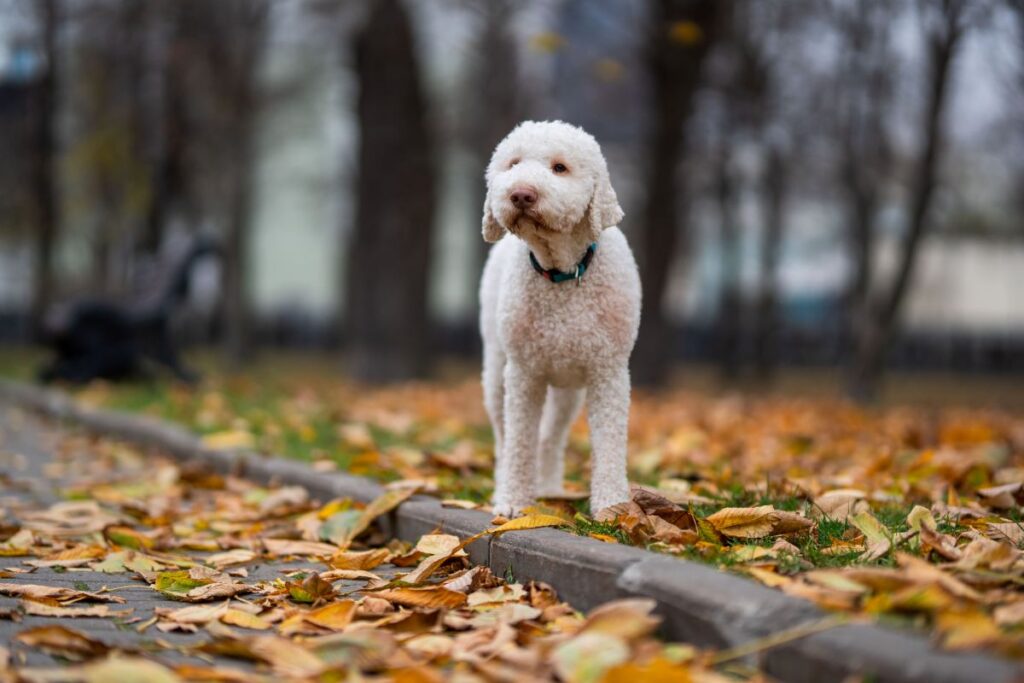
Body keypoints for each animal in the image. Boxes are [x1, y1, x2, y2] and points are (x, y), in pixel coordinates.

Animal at [477, 121, 638, 518]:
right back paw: (505, 488)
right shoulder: (523, 373)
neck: (563, 271)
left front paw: (613, 507)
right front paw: (513, 502)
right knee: (504, 437)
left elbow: (609, 441)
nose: (520, 194)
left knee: (551, 436)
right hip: (497, 370)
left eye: (560, 168)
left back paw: (549, 488)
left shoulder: (608, 372)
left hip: (568, 389)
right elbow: (520, 440)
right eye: (513, 163)